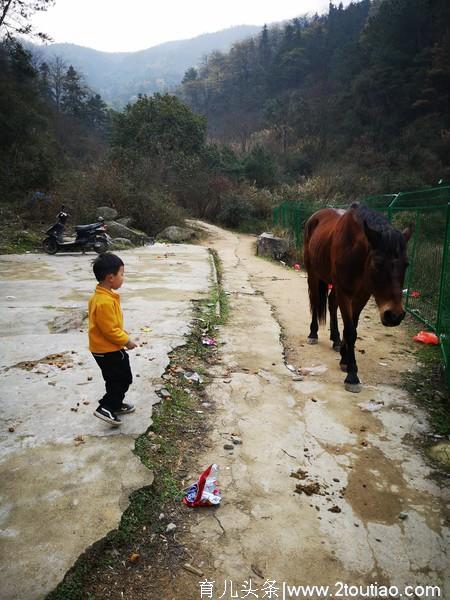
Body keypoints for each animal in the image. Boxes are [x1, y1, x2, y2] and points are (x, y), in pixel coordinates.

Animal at [302, 204, 412, 392]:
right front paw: (352, 375)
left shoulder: (363, 294)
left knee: (331, 303)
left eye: (406, 264)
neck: (354, 249)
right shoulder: (345, 292)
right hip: (313, 273)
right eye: (377, 263)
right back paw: (313, 333)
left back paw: (336, 340)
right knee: (316, 301)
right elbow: (351, 330)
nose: (394, 315)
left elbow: (354, 326)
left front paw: (345, 359)